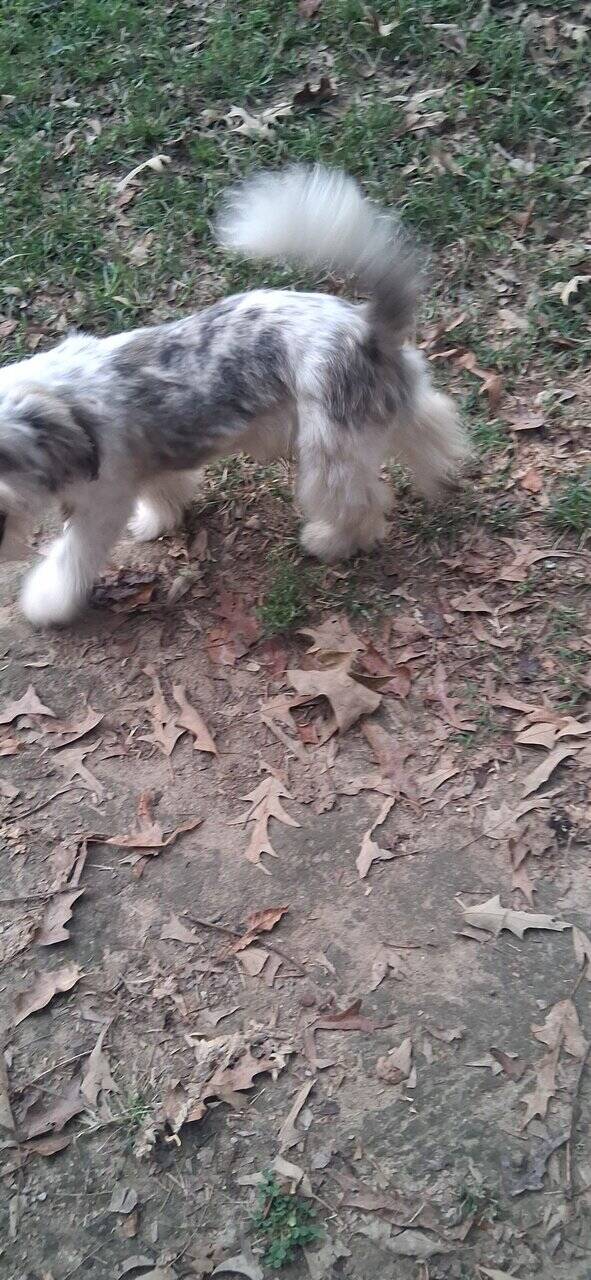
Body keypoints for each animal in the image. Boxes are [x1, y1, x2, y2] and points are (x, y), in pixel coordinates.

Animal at [0, 165, 469, 626]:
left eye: (3, 455)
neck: (71, 408)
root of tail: (367, 328)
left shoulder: (100, 507)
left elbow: (70, 561)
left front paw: (47, 602)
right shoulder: (150, 460)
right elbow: (164, 490)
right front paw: (158, 520)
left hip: (328, 455)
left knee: (363, 505)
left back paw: (329, 541)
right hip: (378, 419)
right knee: (432, 423)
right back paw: (441, 470)